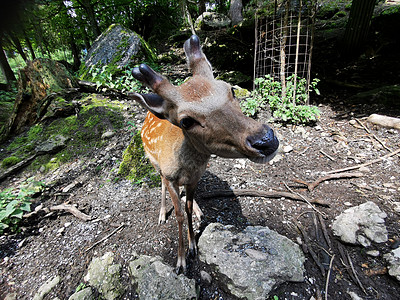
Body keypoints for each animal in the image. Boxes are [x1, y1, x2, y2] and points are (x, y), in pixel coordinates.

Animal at [130, 34, 280, 274]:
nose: (265, 140)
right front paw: (181, 260)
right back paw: (162, 214)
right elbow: (179, 214)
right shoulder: (170, 176)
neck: (184, 166)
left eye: (231, 89)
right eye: (186, 121)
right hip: (153, 163)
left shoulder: (194, 178)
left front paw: (193, 246)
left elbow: (188, 208)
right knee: (160, 183)